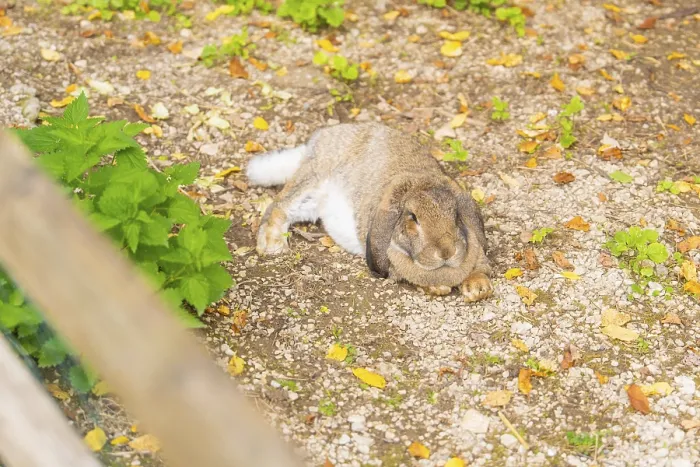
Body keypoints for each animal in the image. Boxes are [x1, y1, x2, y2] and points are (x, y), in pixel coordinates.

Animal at [246, 123, 492, 302]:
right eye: (413, 218)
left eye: (456, 215)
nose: (446, 252)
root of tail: (317, 141)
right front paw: (439, 287)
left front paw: (478, 288)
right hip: (312, 180)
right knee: (278, 206)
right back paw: (273, 246)